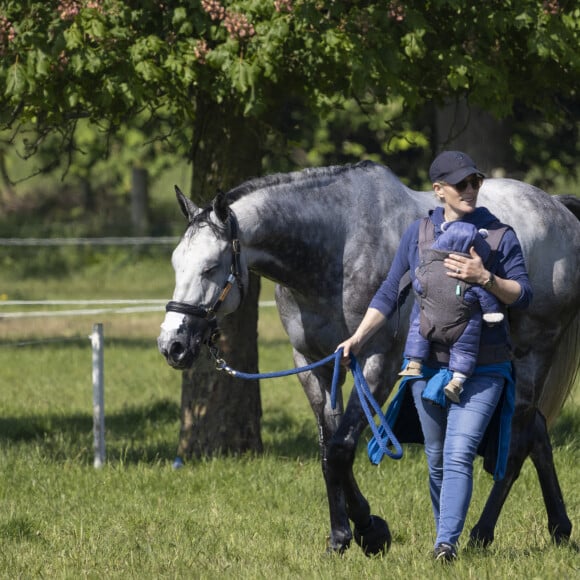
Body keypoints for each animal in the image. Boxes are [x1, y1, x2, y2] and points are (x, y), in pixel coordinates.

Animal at [157, 161, 580, 556]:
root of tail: (558, 211)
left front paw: (368, 532)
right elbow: (327, 449)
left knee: (519, 441)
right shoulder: (315, 365)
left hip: (532, 353)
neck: (334, 248)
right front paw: (344, 534)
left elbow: (342, 448)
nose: (172, 344)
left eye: (211, 267)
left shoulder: (378, 362)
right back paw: (559, 528)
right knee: (537, 433)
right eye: (176, 263)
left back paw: (481, 533)